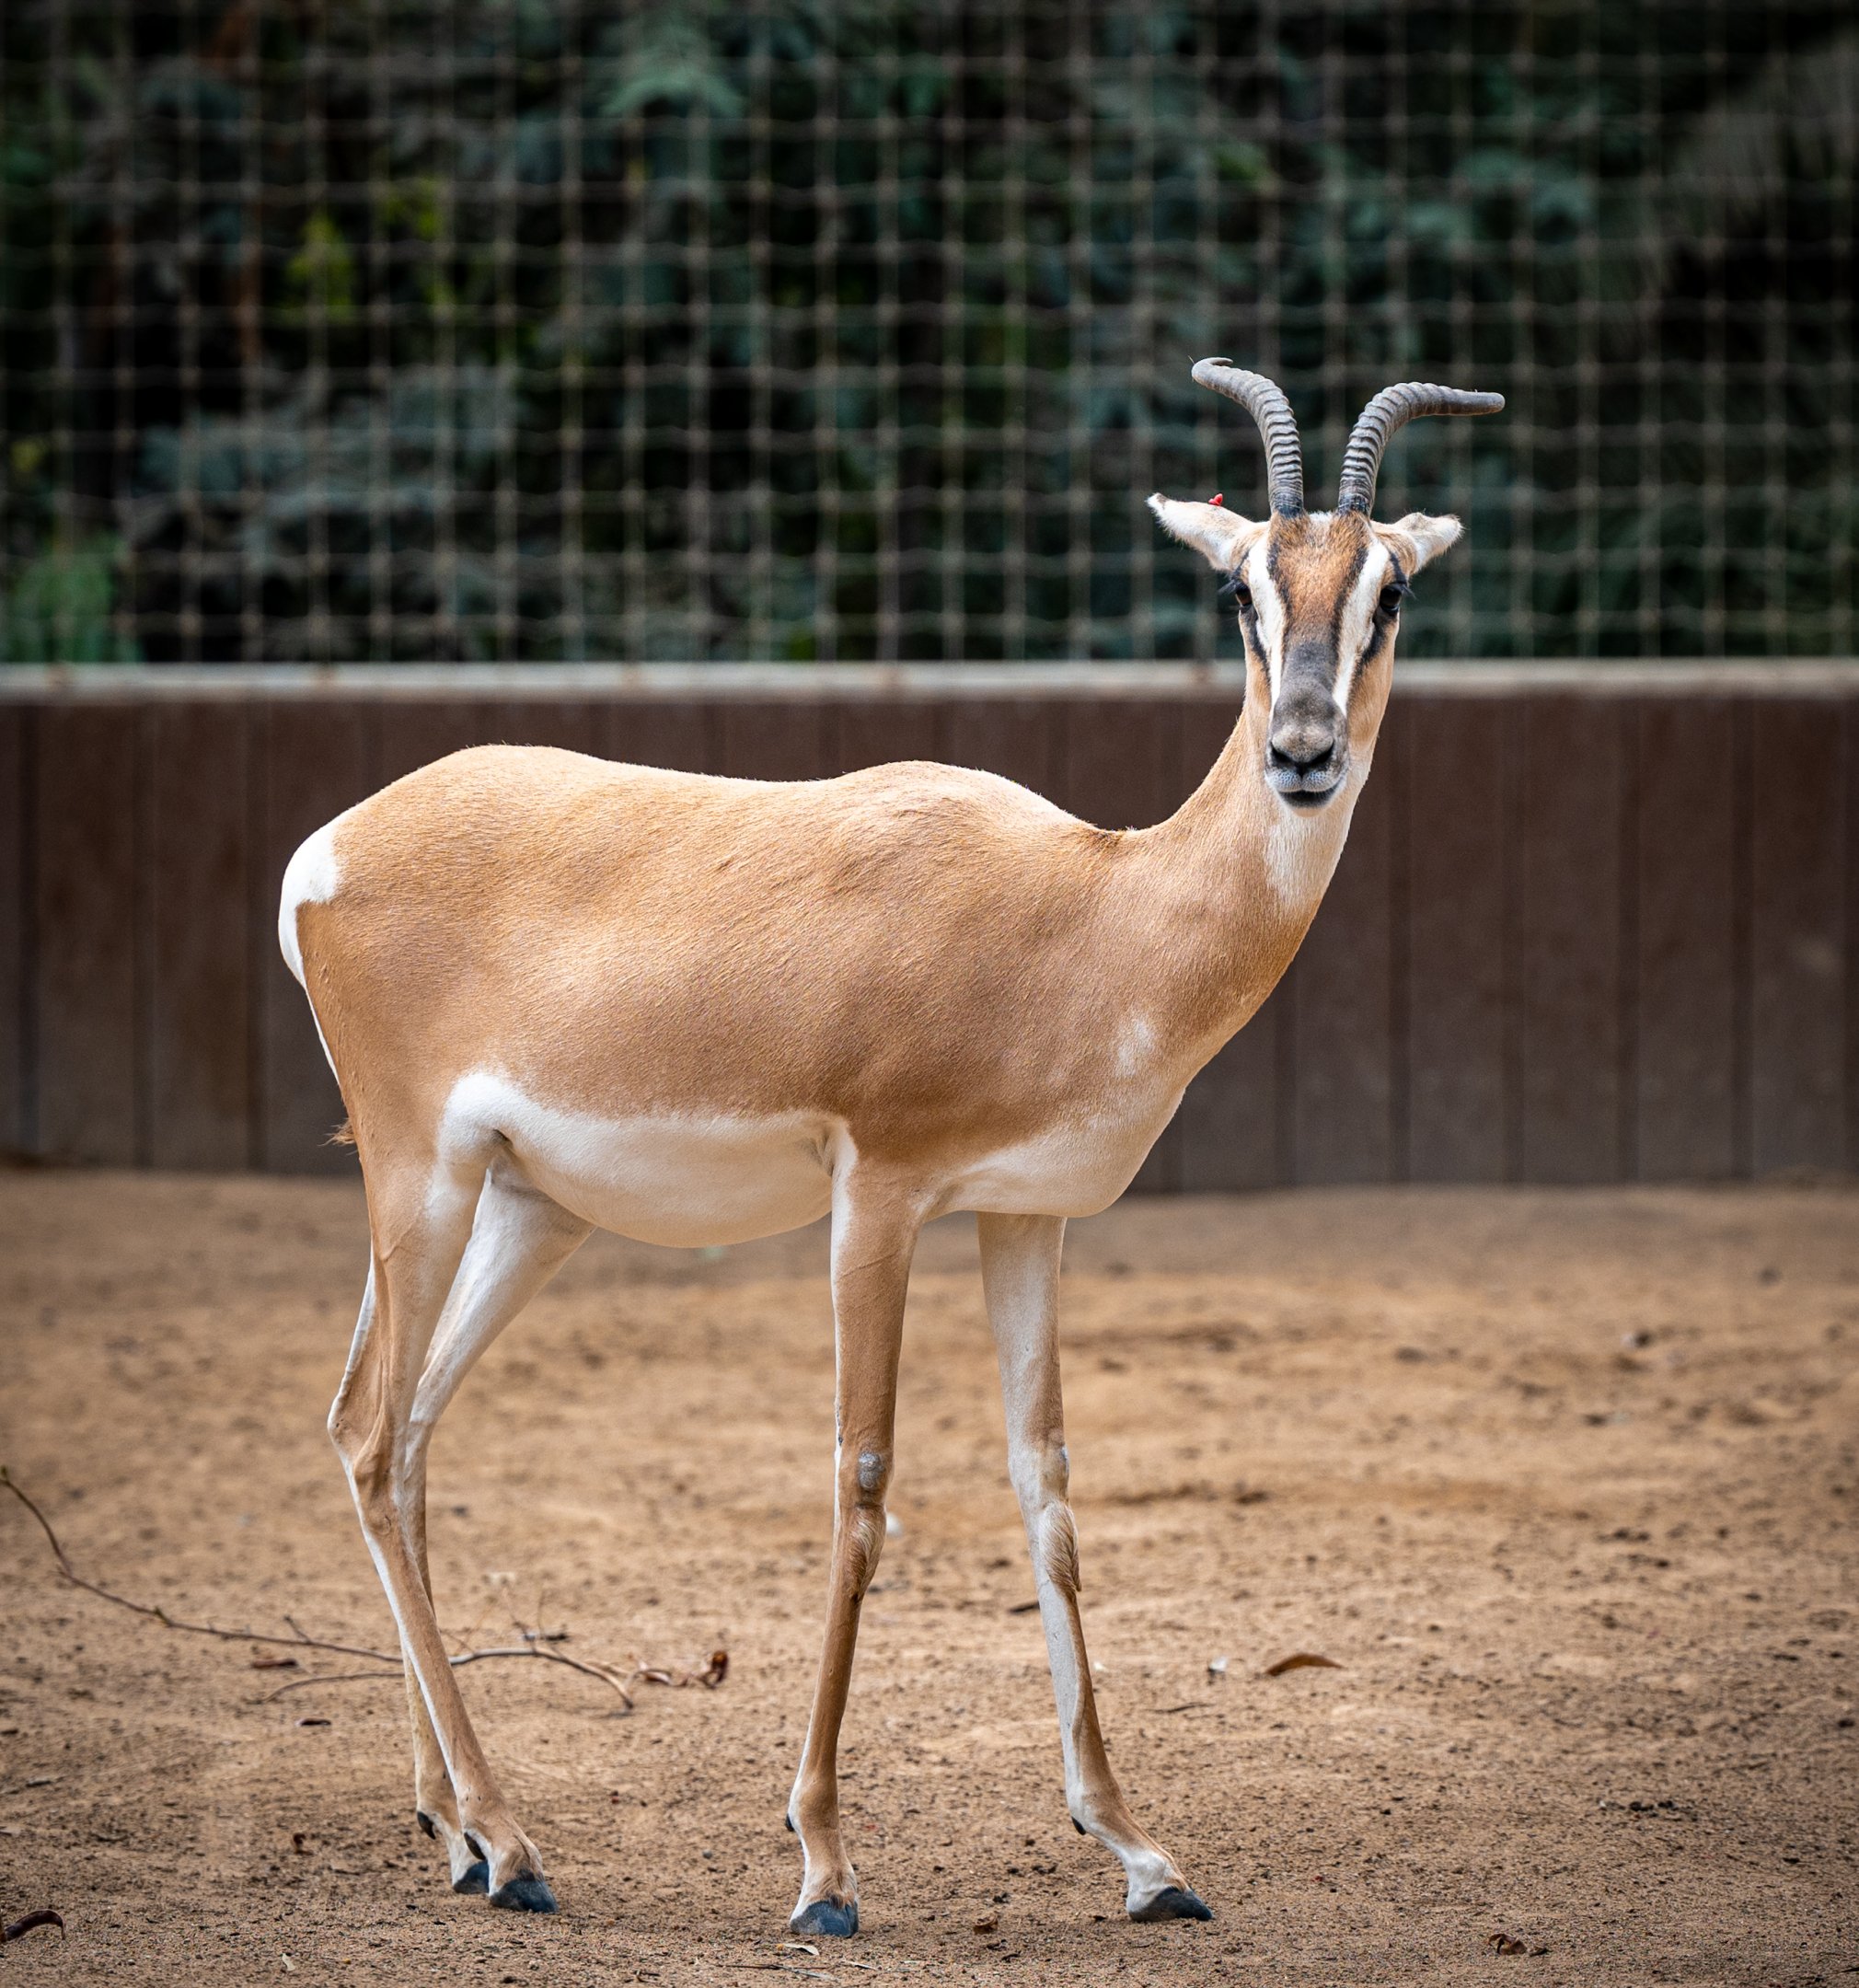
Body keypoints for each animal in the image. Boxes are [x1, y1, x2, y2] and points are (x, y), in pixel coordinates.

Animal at [279, 362, 1501, 1938]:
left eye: (1387, 592)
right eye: (1242, 590)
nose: (1301, 753)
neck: (1094, 914)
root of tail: (328, 849)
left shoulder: (1025, 1215)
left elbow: (1049, 1492)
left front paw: (1144, 1856)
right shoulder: (883, 1192)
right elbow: (863, 1485)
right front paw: (823, 1869)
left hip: (522, 1207)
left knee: (405, 1431)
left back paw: (459, 1830)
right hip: (417, 1176)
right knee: (373, 1439)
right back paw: (513, 1844)